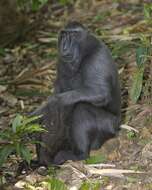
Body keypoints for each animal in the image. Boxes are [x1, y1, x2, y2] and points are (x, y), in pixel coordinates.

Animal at [32, 21, 121, 166]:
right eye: (63, 35)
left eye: (73, 35)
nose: (65, 46)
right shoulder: (60, 61)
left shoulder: (96, 58)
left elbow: (100, 92)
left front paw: (51, 103)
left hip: (109, 126)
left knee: (81, 109)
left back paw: (79, 154)